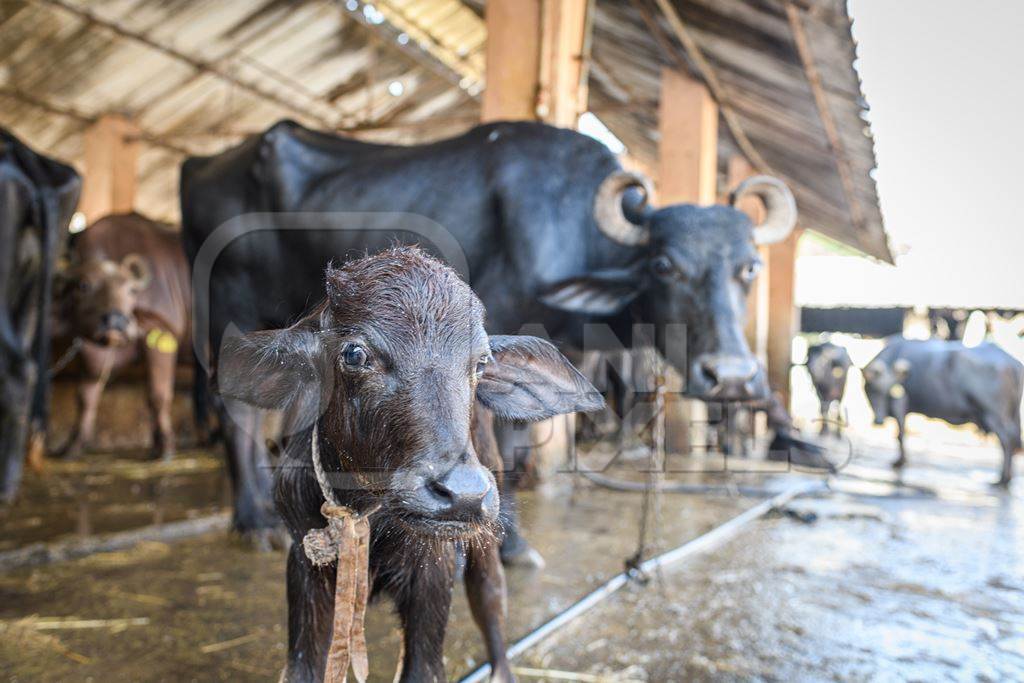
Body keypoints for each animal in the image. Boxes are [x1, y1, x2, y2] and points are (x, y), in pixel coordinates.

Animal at [180, 120, 794, 557]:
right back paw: (253, 521)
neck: (564, 226)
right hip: (227, 310)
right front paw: (510, 544)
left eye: (750, 267)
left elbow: (521, 446)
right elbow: (497, 452)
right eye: (664, 265)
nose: (731, 376)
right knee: (234, 405)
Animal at [218, 246, 598, 683]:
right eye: (354, 353)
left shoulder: (434, 573)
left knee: (491, 599)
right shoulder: (304, 565)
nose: (463, 495)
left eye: (481, 362)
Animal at [864, 337, 1024, 485]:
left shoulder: (901, 405)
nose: (879, 421)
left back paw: (1002, 479)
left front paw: (900, 461)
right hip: (1010, 414)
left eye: (887, 391)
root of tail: (1011, 362)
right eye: (873, 391)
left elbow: (900, 434)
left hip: (993, 414)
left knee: (1007, 439)